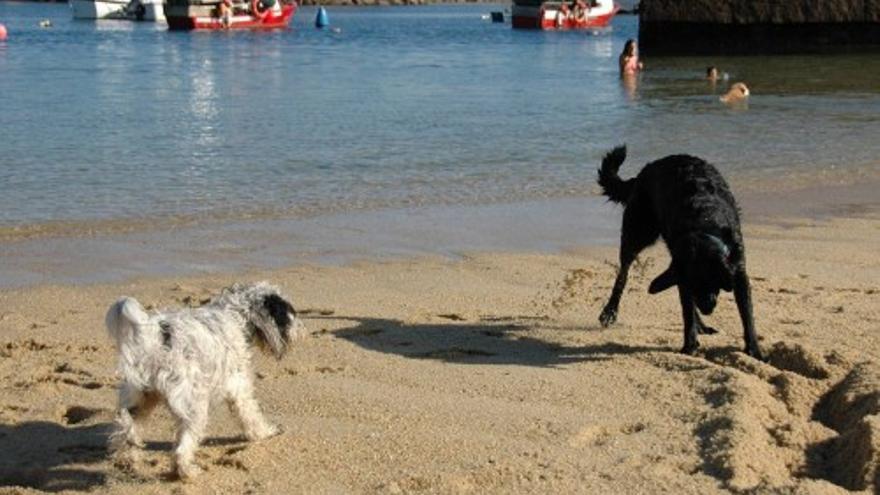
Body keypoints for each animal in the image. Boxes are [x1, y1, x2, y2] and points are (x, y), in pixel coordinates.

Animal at [105, 282, 304, 480]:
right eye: (288, 313)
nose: (302, 330)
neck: (236, 316)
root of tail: (155, 339)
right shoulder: (239, 388)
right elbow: (251, 415)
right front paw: (265, 432)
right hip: (194, 407)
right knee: (181, 448)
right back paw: (187, 471)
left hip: (139, 398)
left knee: (126, 429)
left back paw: (128, 459)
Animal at [600, 145, 764, 358]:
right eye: (698, 285)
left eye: (712, 281)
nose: (707, 308)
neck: (703, 224)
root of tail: (646, 169)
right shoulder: (684, 277)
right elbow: (687, 311)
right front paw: (689, 345)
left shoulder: (737, 268)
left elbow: (746, 312)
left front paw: (754, 350)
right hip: (638, 232)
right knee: (623, 272)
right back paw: (609, 312)